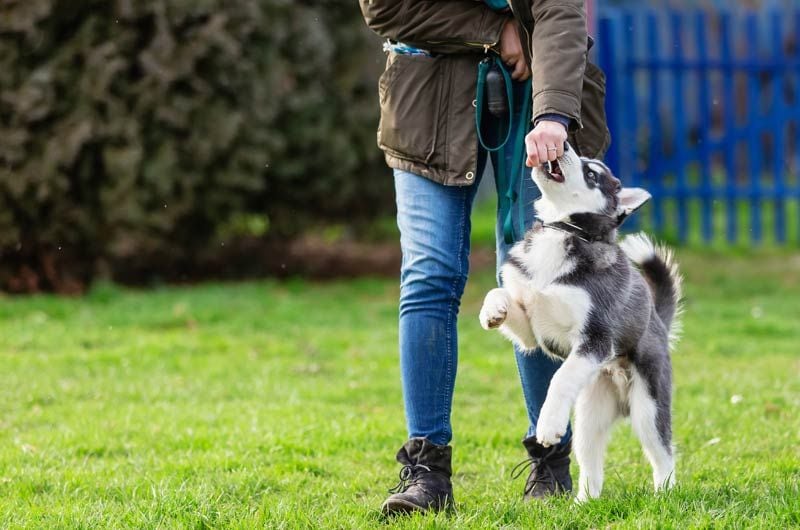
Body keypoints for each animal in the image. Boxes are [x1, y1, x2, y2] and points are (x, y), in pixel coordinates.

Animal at [482, 141, 680, 500]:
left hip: (648, 407)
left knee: (663, 453)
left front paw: (548, 425)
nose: (561, 142)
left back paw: (666, 494)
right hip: (590, 414)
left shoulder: (596, 339)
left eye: (591, 173)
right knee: (591, 462)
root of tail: (657, 321)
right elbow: (500, 292)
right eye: (586, 162)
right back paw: (585, 502)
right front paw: (492, 310)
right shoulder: (532, 330)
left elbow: (560, 380)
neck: (562, 231)